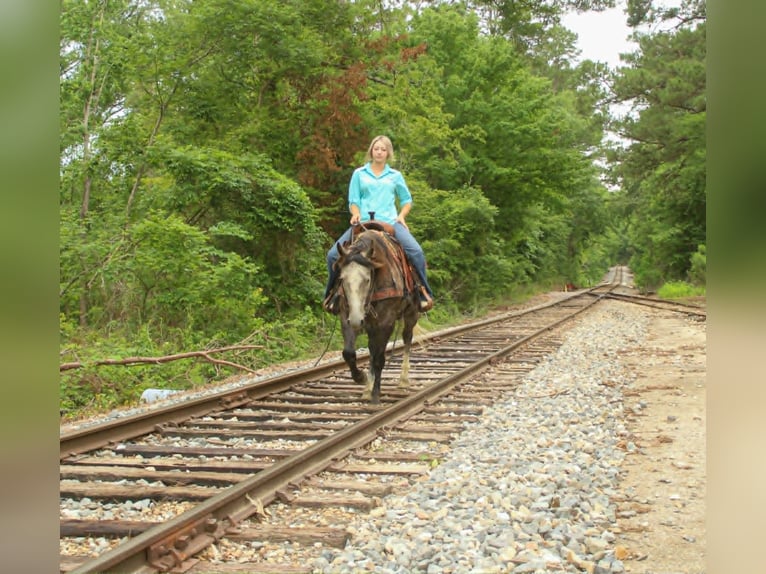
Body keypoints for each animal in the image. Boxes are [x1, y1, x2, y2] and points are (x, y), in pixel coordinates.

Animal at [334, 226, 421, 404]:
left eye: (367, 279)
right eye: (342, 278)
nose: (356, 320)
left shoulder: (386, 322)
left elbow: (380, 358)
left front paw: (375, 395)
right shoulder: (347, 316)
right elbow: (349, 353)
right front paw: (361, 378)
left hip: (411, 313)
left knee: (407, 338)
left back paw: (403, 380)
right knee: (372, 349)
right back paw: (367, 388)